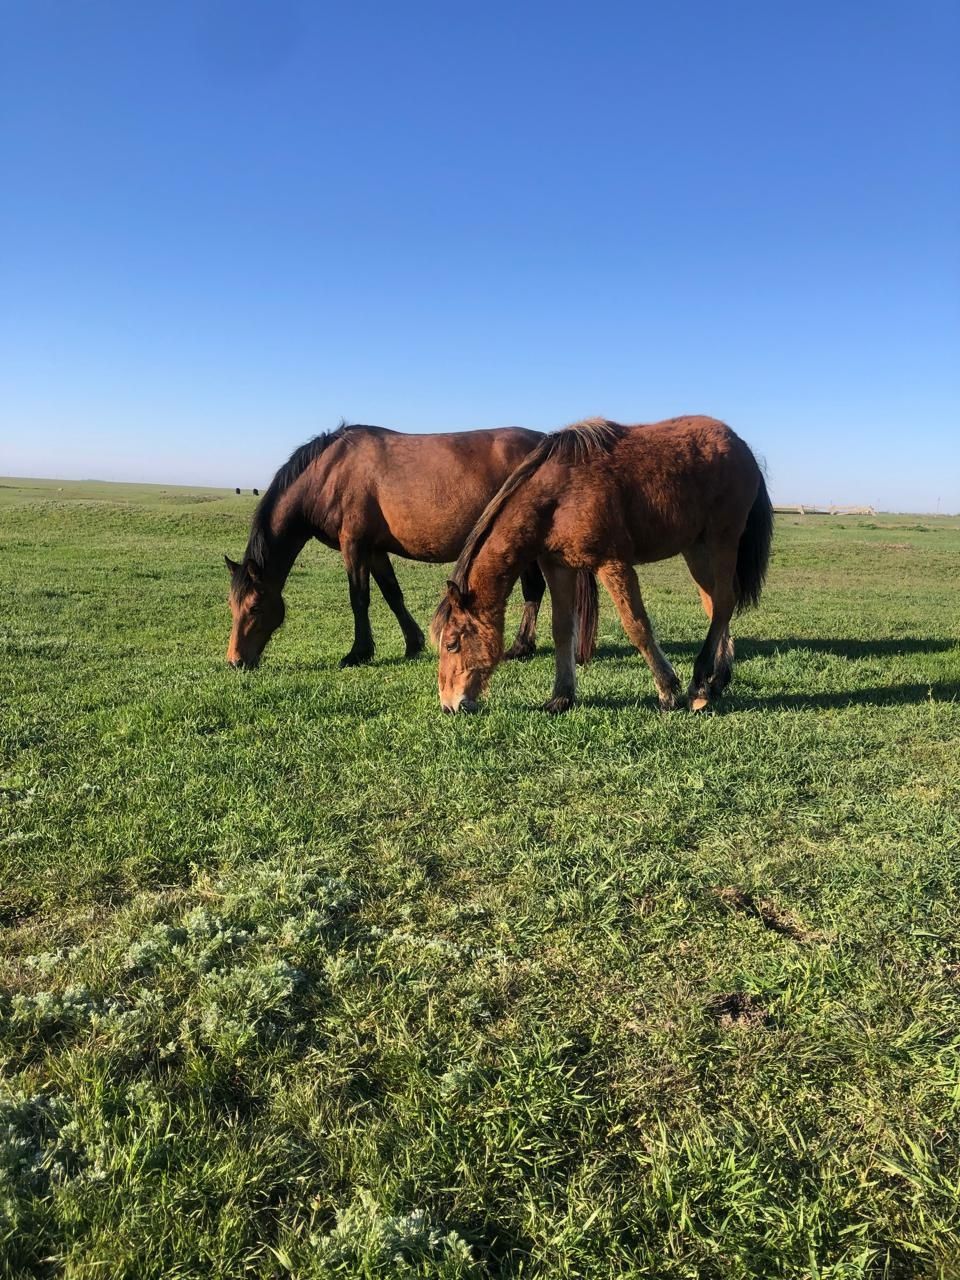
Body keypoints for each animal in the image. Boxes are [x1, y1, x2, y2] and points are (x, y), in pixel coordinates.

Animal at [227, 424, 601, 675]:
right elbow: (392, 594)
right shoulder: (375, 550)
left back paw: (520, 647)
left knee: (533, 590)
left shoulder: (354, 545)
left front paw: (359, 652)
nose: (235, 661)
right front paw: (413, 643)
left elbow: (358, 597)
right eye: (232, 605)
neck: (329, 473)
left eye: (255, 607)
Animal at [435, 419, 773, 721]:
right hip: (696, 549)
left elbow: (637, 626)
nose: (449, 705)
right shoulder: (558, 567)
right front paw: (561, 697)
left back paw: (700, 684)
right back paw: (716, 681)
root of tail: (741, 446)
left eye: (452, 643)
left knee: (724, 603)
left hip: (722, 540)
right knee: (715, 605)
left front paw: (667, 691)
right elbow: (562, 630)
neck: (559, 496)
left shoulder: (613, 564)